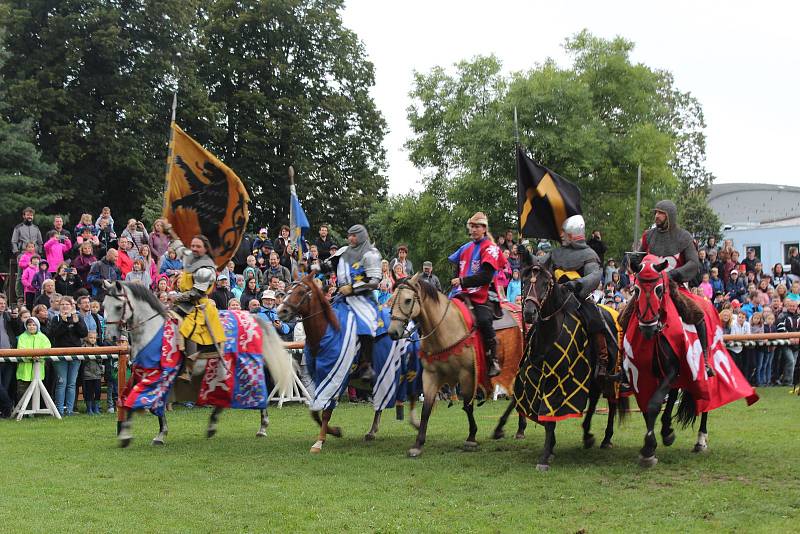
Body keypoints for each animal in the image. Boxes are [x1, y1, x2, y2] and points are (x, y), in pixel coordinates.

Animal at [103, 280, 294, 448]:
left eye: (118, 307)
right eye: (104, 306)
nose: (111, 337)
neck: (153, 331)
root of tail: (252, 317)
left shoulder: (160, 375)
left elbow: (137, 401)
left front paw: (129, 436)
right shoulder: (142, 373)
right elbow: (136, 401)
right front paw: (151, 434)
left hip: (243, 365)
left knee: (256, 389)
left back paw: (262, 426)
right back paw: (212, 426)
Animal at [388, 274, 524, 458]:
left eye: (408, 300)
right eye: (391, 299)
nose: (392, 332)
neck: (444, 328)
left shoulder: (466, 374)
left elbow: (468, 406)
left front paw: (471, 437)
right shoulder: (430, 374)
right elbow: (426, 408)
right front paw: (418, 444)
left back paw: (505, 427)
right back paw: (513, 428)